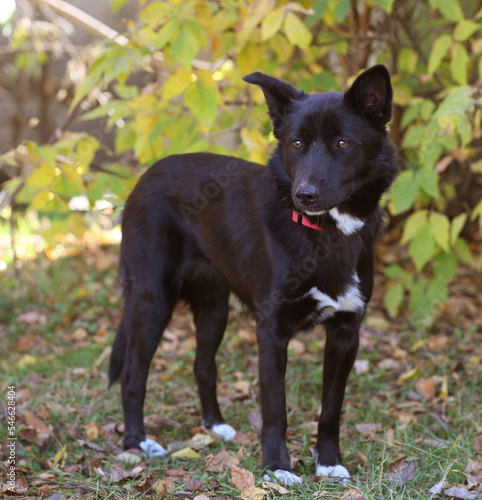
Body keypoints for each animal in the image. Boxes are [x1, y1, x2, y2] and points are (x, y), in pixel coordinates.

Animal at [111, 65, 398, 484]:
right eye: (296, 143)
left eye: (343, 143)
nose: (304, 195)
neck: (325, 233)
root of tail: (145, 176)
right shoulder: (271, 332)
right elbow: (275, 409)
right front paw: (277, 468)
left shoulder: (346, 333)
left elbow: (331, 408)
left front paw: (329, 463)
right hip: (152, 300)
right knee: (133, 375)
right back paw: (137, 445)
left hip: (214, 308)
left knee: (203, 365)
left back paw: (214, 426)